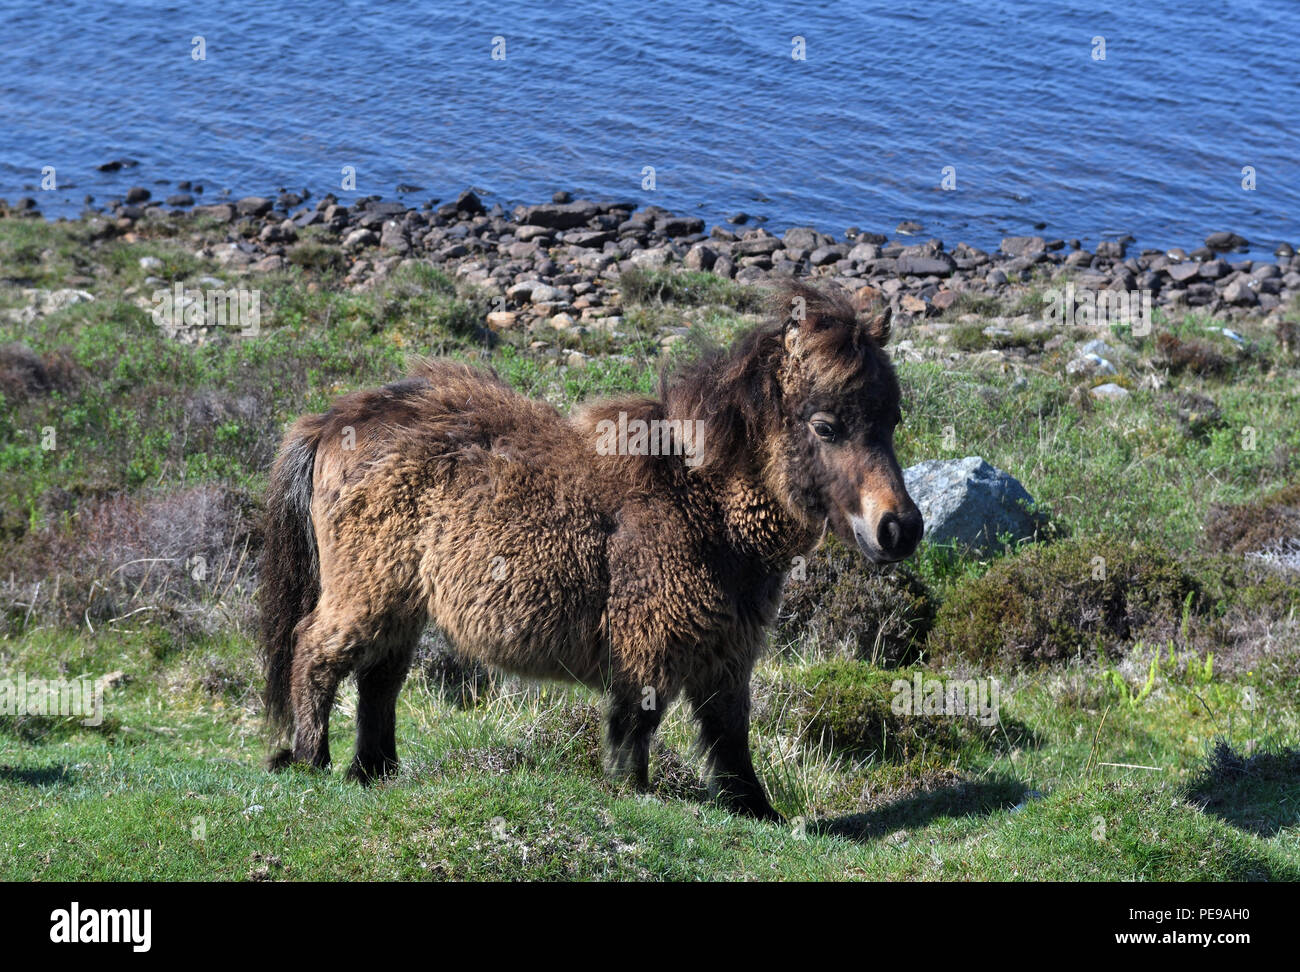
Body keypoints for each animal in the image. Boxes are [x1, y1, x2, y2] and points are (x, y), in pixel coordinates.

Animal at [259, 279, 923, 820]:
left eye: (891, 418)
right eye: (826, 427)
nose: (900, 529)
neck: (702, 498)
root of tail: (333, 420)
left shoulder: (726, 654)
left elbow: (730, 740)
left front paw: (758, 813)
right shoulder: (651, 645)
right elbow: (636, 730)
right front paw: (634, 795)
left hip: (401, 601)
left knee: (379, 679)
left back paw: (376, 772)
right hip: (368, 590)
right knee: (317, 652)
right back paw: (313, 759)